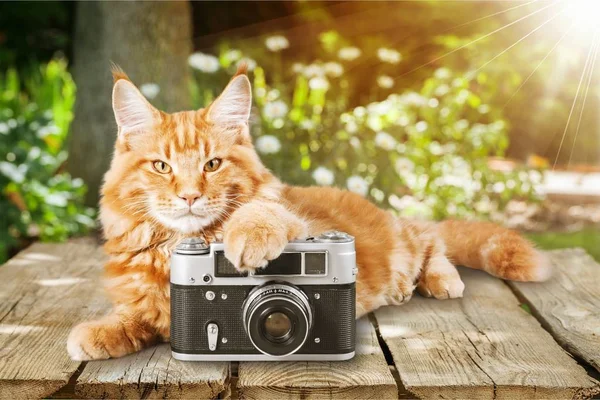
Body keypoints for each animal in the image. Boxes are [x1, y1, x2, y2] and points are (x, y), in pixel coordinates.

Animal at [67, 65, 552, 360]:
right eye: (162, 167)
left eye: (212, 165)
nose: (188, 196)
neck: (174, 248)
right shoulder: (151, 305)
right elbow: (132, 317)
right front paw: (97, 333)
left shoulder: (299, 222)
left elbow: (262, 214)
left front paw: (247, 238)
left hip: (404, 242)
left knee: (430, 238)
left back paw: (441, 280)